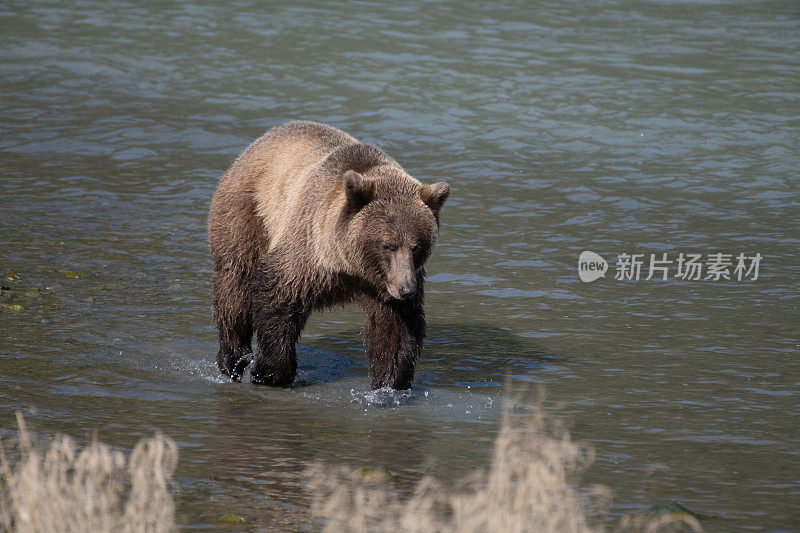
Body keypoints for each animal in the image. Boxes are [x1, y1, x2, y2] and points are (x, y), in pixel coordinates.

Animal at [208, 120, 450, 388]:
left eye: (417, 246)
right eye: (387, 245)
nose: (406, 289)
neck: (348, 265)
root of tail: (261, 140)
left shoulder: (384, 283)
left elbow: (395, 329)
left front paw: (389, 383)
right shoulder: (308, 252)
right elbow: (278, 298)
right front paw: (269, 372)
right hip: (246, 213)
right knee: (235, 283)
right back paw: (233, 357)